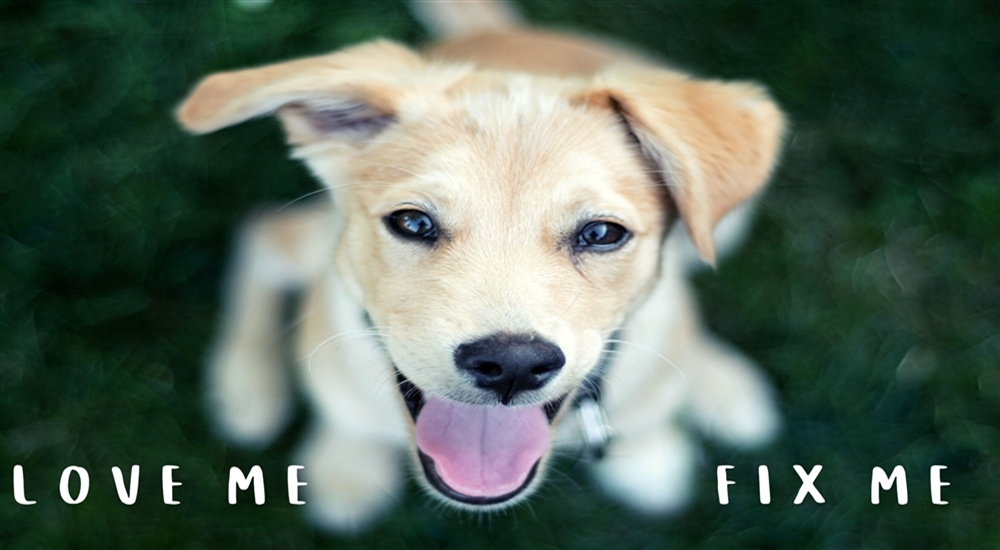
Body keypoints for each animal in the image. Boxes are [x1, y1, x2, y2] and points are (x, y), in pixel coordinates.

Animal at [176, 0, 784, 536]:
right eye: (412, 222)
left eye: (601, 234)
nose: (513, 365)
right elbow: (347, 418)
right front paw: (346, 468)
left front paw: (652, 454)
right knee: (262, 234)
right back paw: (246, 383)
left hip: (729, 222)